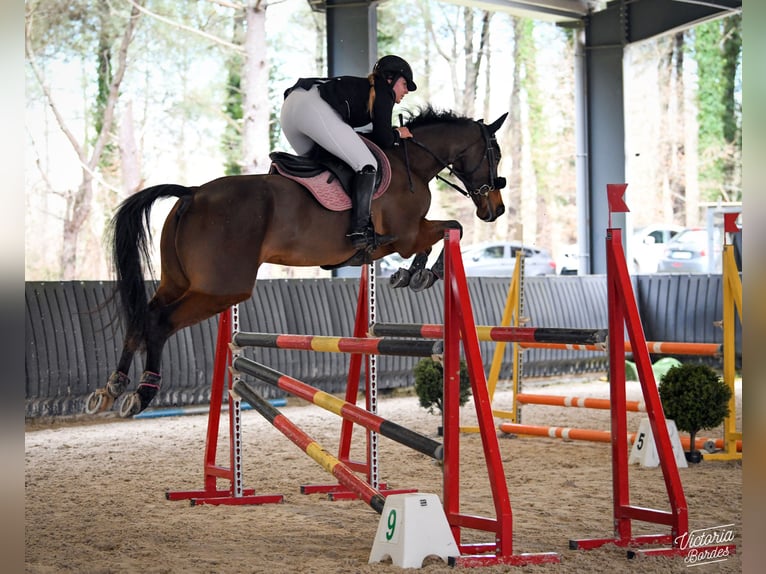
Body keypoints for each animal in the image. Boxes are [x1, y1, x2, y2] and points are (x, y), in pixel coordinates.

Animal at [85, 106, 508, 417]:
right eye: (495, 154)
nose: (496, 210)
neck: (411, 163)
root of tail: (192, 193)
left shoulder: (400, 240)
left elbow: (445, 229)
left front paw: (414, 274)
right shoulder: (405, 236)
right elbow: (450, 227)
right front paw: (423, 272)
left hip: (180, 282)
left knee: (141, 313)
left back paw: (112, 386)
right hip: (221, 290)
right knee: (159, 321)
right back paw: (142, 393)